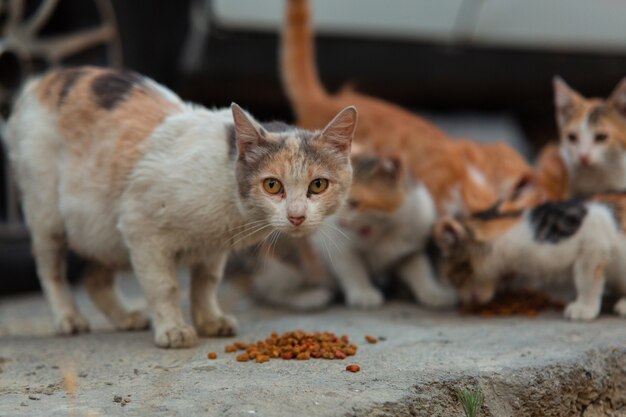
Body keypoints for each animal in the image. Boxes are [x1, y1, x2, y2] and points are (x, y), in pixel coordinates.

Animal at [2, 66, 356, 348]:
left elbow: (205, 284)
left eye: (317, 185)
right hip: (48, 215)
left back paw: (126, 318)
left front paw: (210, 321)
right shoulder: (140, 226)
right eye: (272, 185)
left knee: (94, 279)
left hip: (101, 229)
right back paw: (68, 318)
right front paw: (173, 330)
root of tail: (42, 80)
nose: (296, 216)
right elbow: (165, 286)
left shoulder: (212, 248)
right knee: (50, 269)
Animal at [251, 150, 456, 308]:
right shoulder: (335, 245)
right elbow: (352, 269)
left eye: (354, 203)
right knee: (269, 291)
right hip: (281, 258)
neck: (382, 229)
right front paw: (363, 293)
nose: (340, 222)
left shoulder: (410, 247)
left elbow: (420, 270)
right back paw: (310, 297)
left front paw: (434, 293)